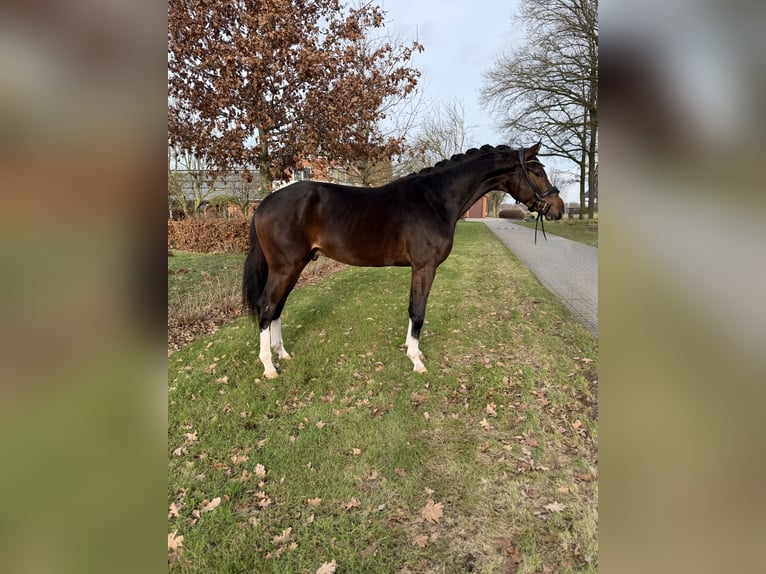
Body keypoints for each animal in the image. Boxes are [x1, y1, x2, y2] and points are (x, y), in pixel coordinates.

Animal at [243, 142, 564, 378]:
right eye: (537, 172)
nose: (558, 209)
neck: (436, 199)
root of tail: (264, 204)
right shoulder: (424, 267)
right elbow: (418, 311)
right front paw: (416, 361)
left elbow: (413, 310)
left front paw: (414, 351)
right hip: (285, 268)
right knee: (266, 307)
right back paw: (269, 366)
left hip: (294, 267)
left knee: (277, 308)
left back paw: (282, 354)